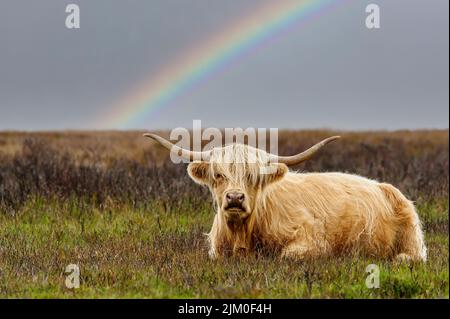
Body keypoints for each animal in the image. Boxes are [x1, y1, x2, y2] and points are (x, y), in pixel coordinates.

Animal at [143, 134, 426, 264]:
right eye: (219, 175)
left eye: (252, 176)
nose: (234, 198)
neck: (242, 234)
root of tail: (384, 187)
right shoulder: (216, 251)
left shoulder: (311, 241)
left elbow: (286, 256)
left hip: (412, 239)